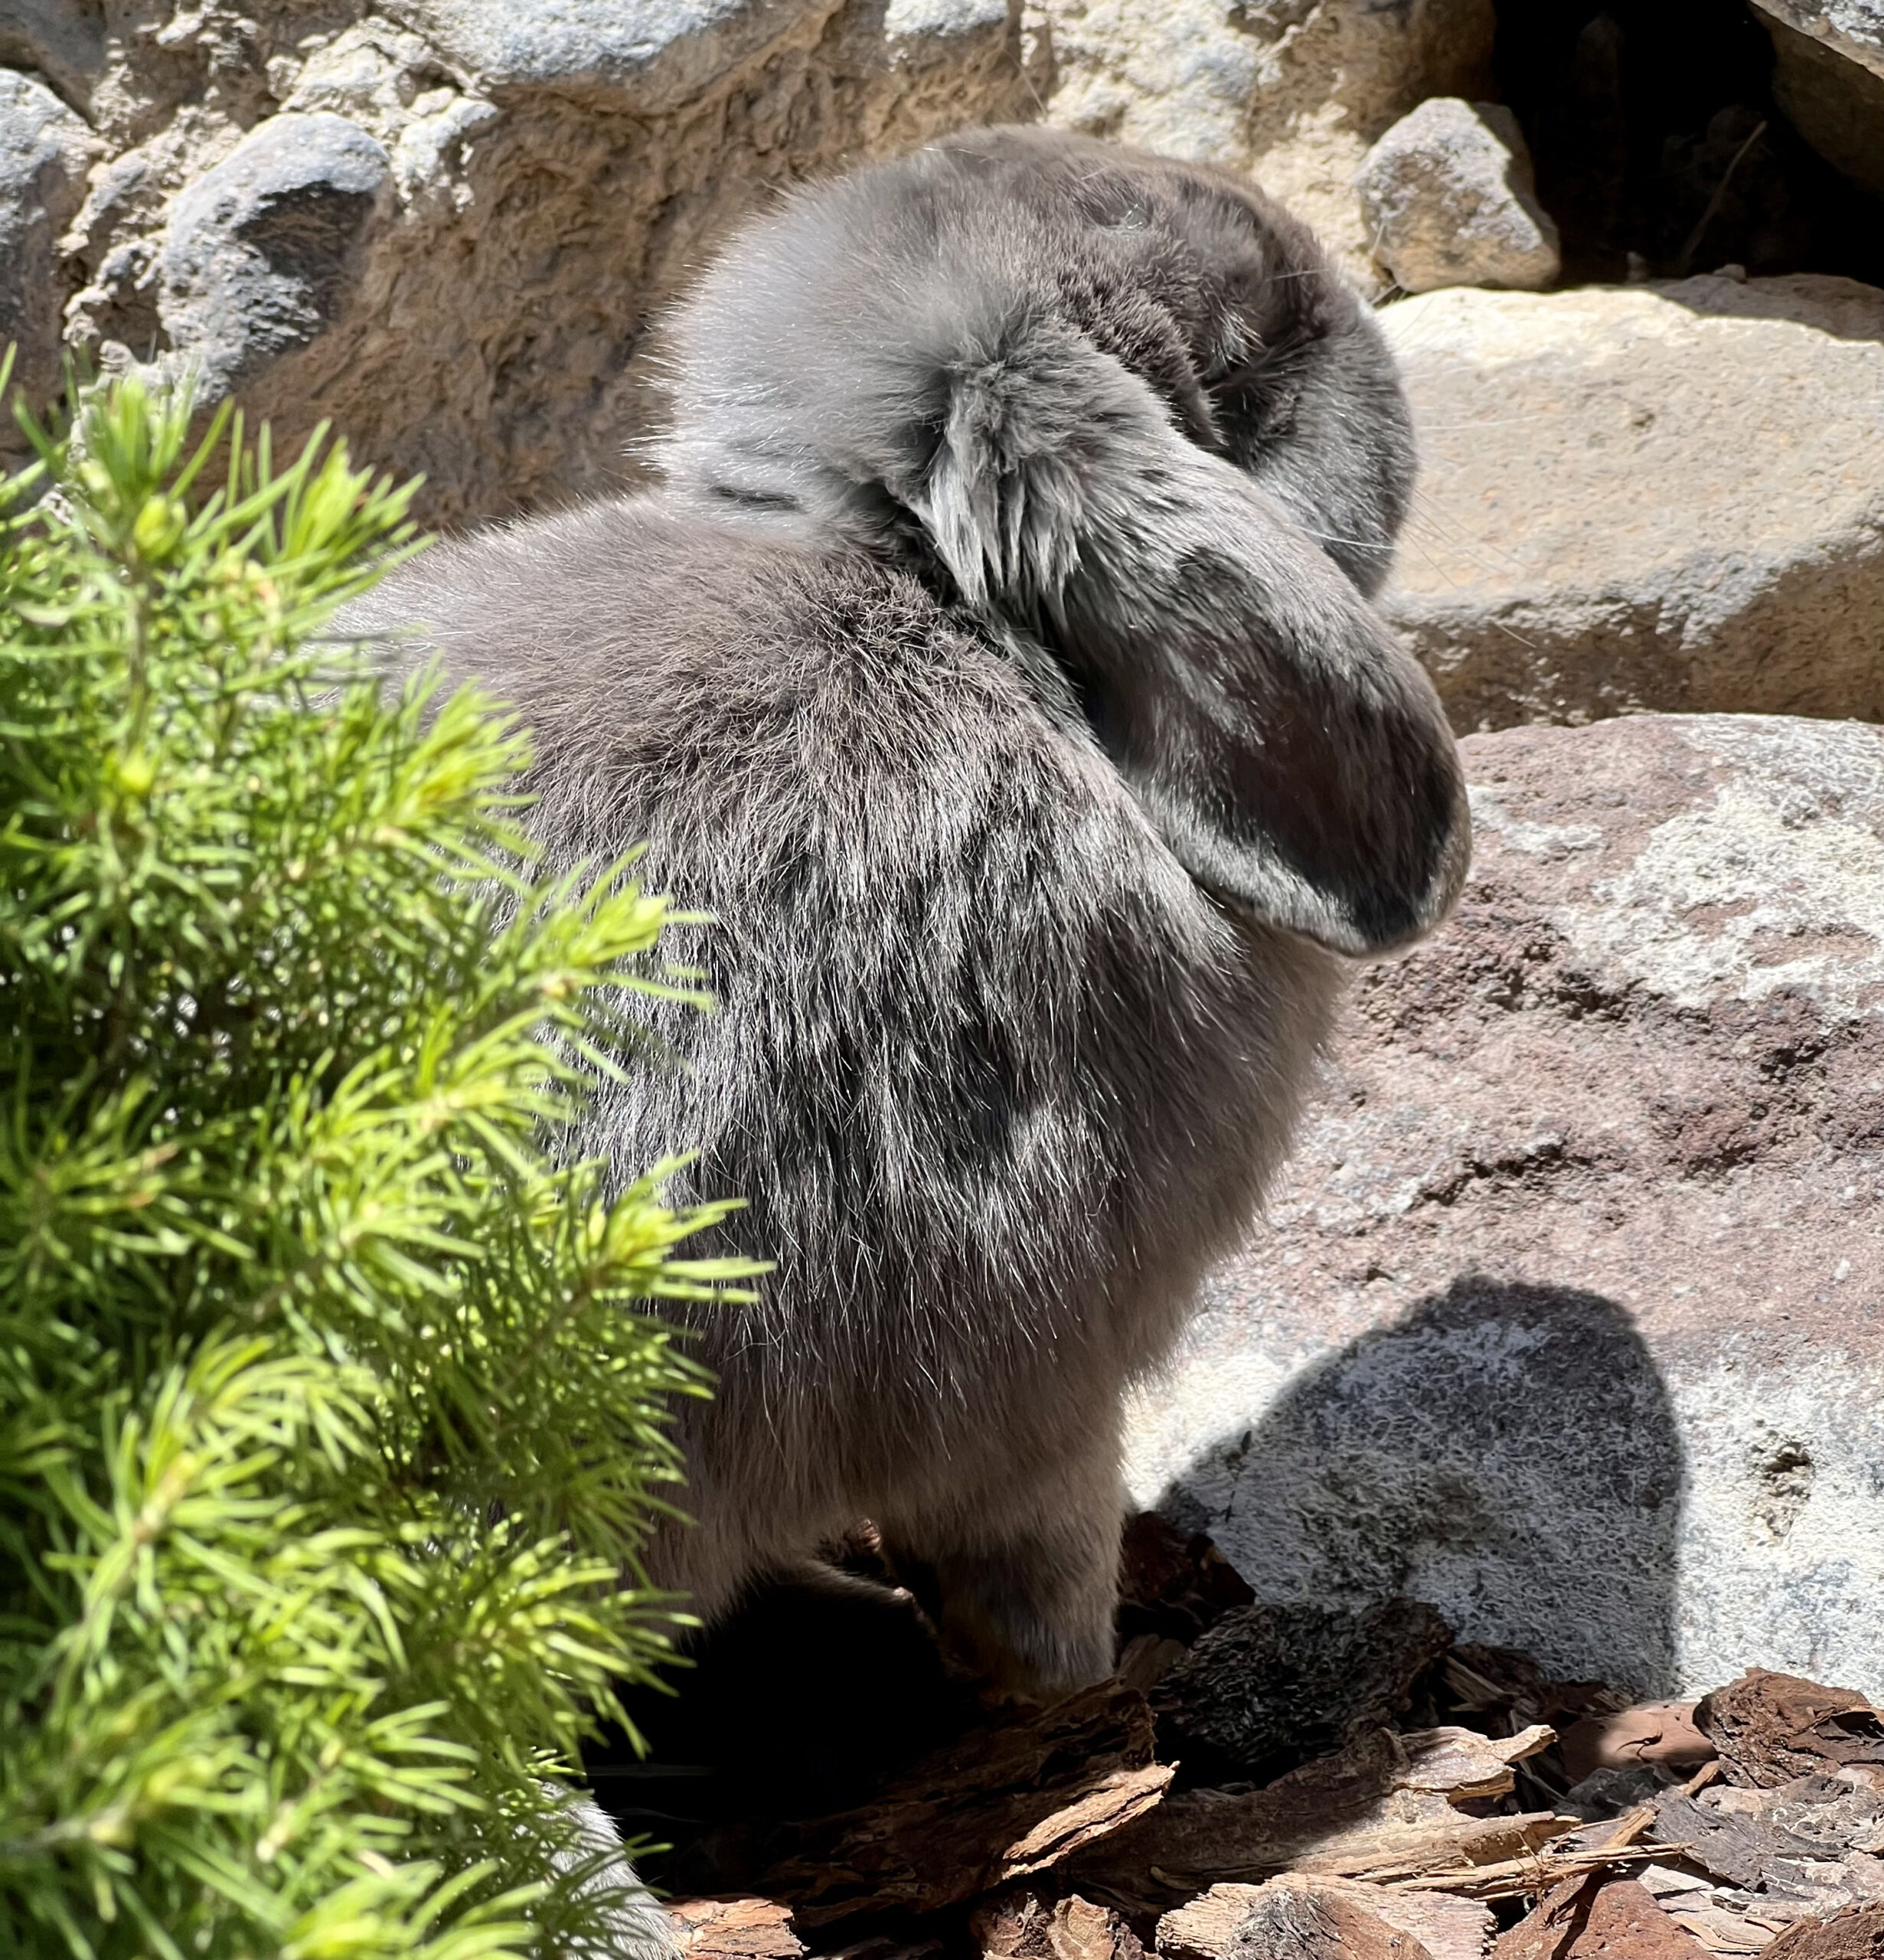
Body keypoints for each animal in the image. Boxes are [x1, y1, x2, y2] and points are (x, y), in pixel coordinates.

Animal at [348, 126, 1474, 1701]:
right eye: (1247, 359)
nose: (1368, 331)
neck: (924, 596)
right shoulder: (1050, 1372)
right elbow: (1040, 1549)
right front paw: (1072, 1683)